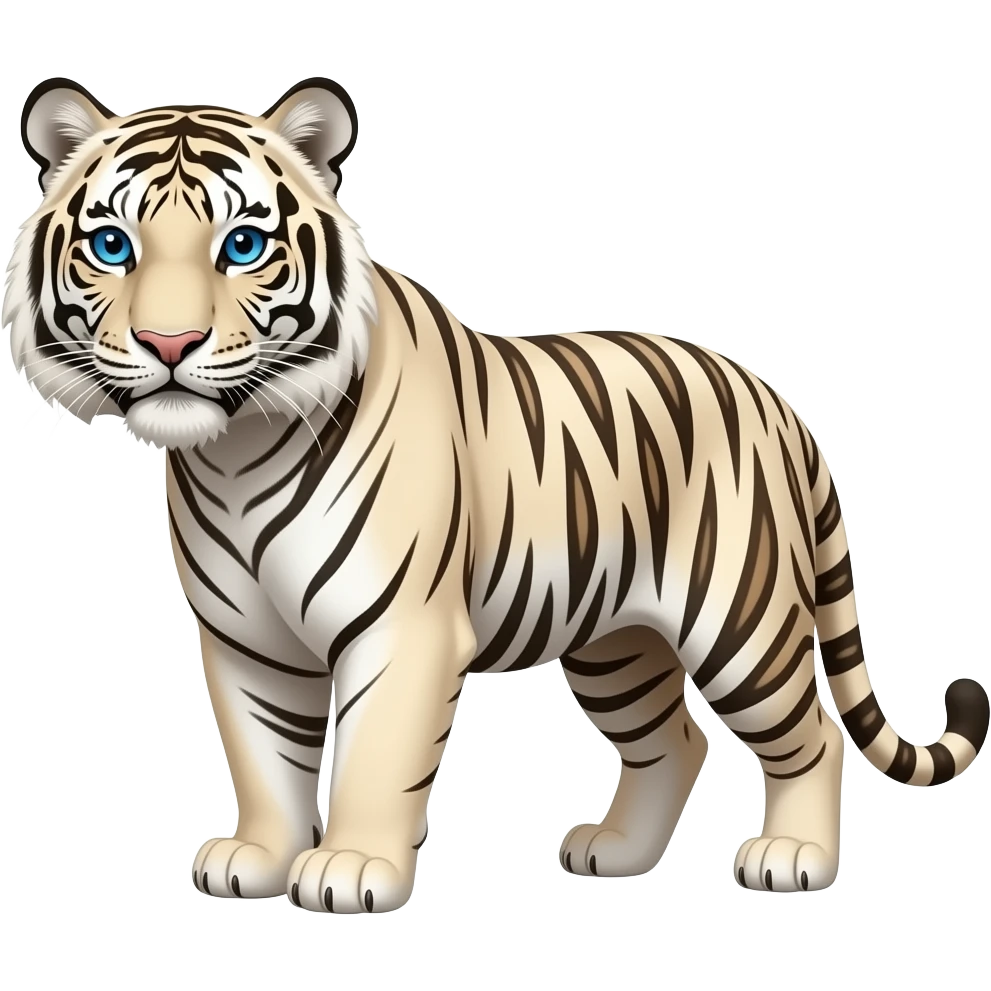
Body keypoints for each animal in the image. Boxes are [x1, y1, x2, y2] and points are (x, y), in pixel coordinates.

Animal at [5, 74, 988, 914]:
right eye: (111, 246)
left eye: (242, 245)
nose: (169, 343)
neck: (235, 452)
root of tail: (776, 399)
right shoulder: (248, 640)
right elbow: (264, 753)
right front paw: (257, 857)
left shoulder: (400, 627)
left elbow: (373, 754)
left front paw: (351, 869)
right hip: (616, 642)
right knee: (675, 739)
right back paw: (615, 854)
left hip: (739, 621)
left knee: (810, 732)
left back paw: (792, 860)